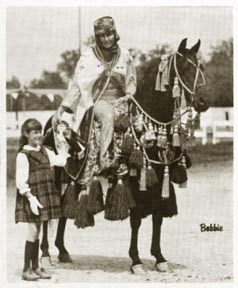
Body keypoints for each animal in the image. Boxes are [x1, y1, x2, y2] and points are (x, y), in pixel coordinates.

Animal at [40, 38, 207, 272]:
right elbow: (135, 219)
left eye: (201, 68)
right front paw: (136, 260)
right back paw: (46, 254)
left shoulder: (159, 178)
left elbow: (157, 217)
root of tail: (50, 123)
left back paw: (62, 251)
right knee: (49, 212)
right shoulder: (134, 182)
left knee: (64, 208)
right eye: (184, 68)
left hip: (71, 176)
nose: (203, 102)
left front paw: (159, 258)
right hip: (54, 176)